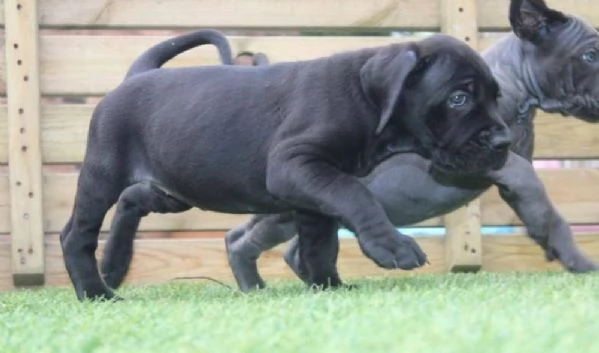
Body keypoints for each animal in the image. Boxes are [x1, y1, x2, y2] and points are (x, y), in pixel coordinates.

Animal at [59, 26, 510, 300]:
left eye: (496, 96)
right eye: (459, 98)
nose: (503, 141)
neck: (366, 101)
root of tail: (137, 75)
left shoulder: (314, 185)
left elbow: (320, 243)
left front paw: (329, 286)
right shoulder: (297, 166)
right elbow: (357, 197)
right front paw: (390, 246)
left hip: (178, 184)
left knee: (133, 198)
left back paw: (115, 264)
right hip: (104, 170)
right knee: (76, 233)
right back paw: (97, 292)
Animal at [214, 0, 599, 288]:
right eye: (591, 55)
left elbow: (539, 216)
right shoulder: (504, 168)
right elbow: (550, 213)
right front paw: (579, 261)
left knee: (266, 243)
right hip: (290, 204)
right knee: (252, 240)